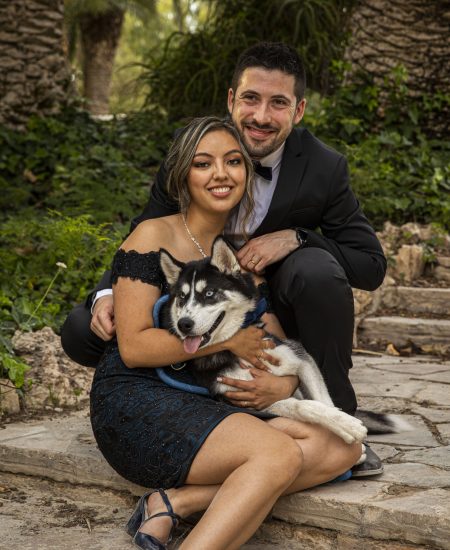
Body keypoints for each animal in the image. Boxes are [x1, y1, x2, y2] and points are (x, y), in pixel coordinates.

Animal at [161, 239, 408, 446]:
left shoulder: (301, 359)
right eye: (181, 297)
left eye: (210, 293)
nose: (184, 324)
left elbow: (324, 400)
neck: (236, 351)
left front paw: (348, 436)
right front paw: (345, 426)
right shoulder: (246, 400)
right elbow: (305, 406)